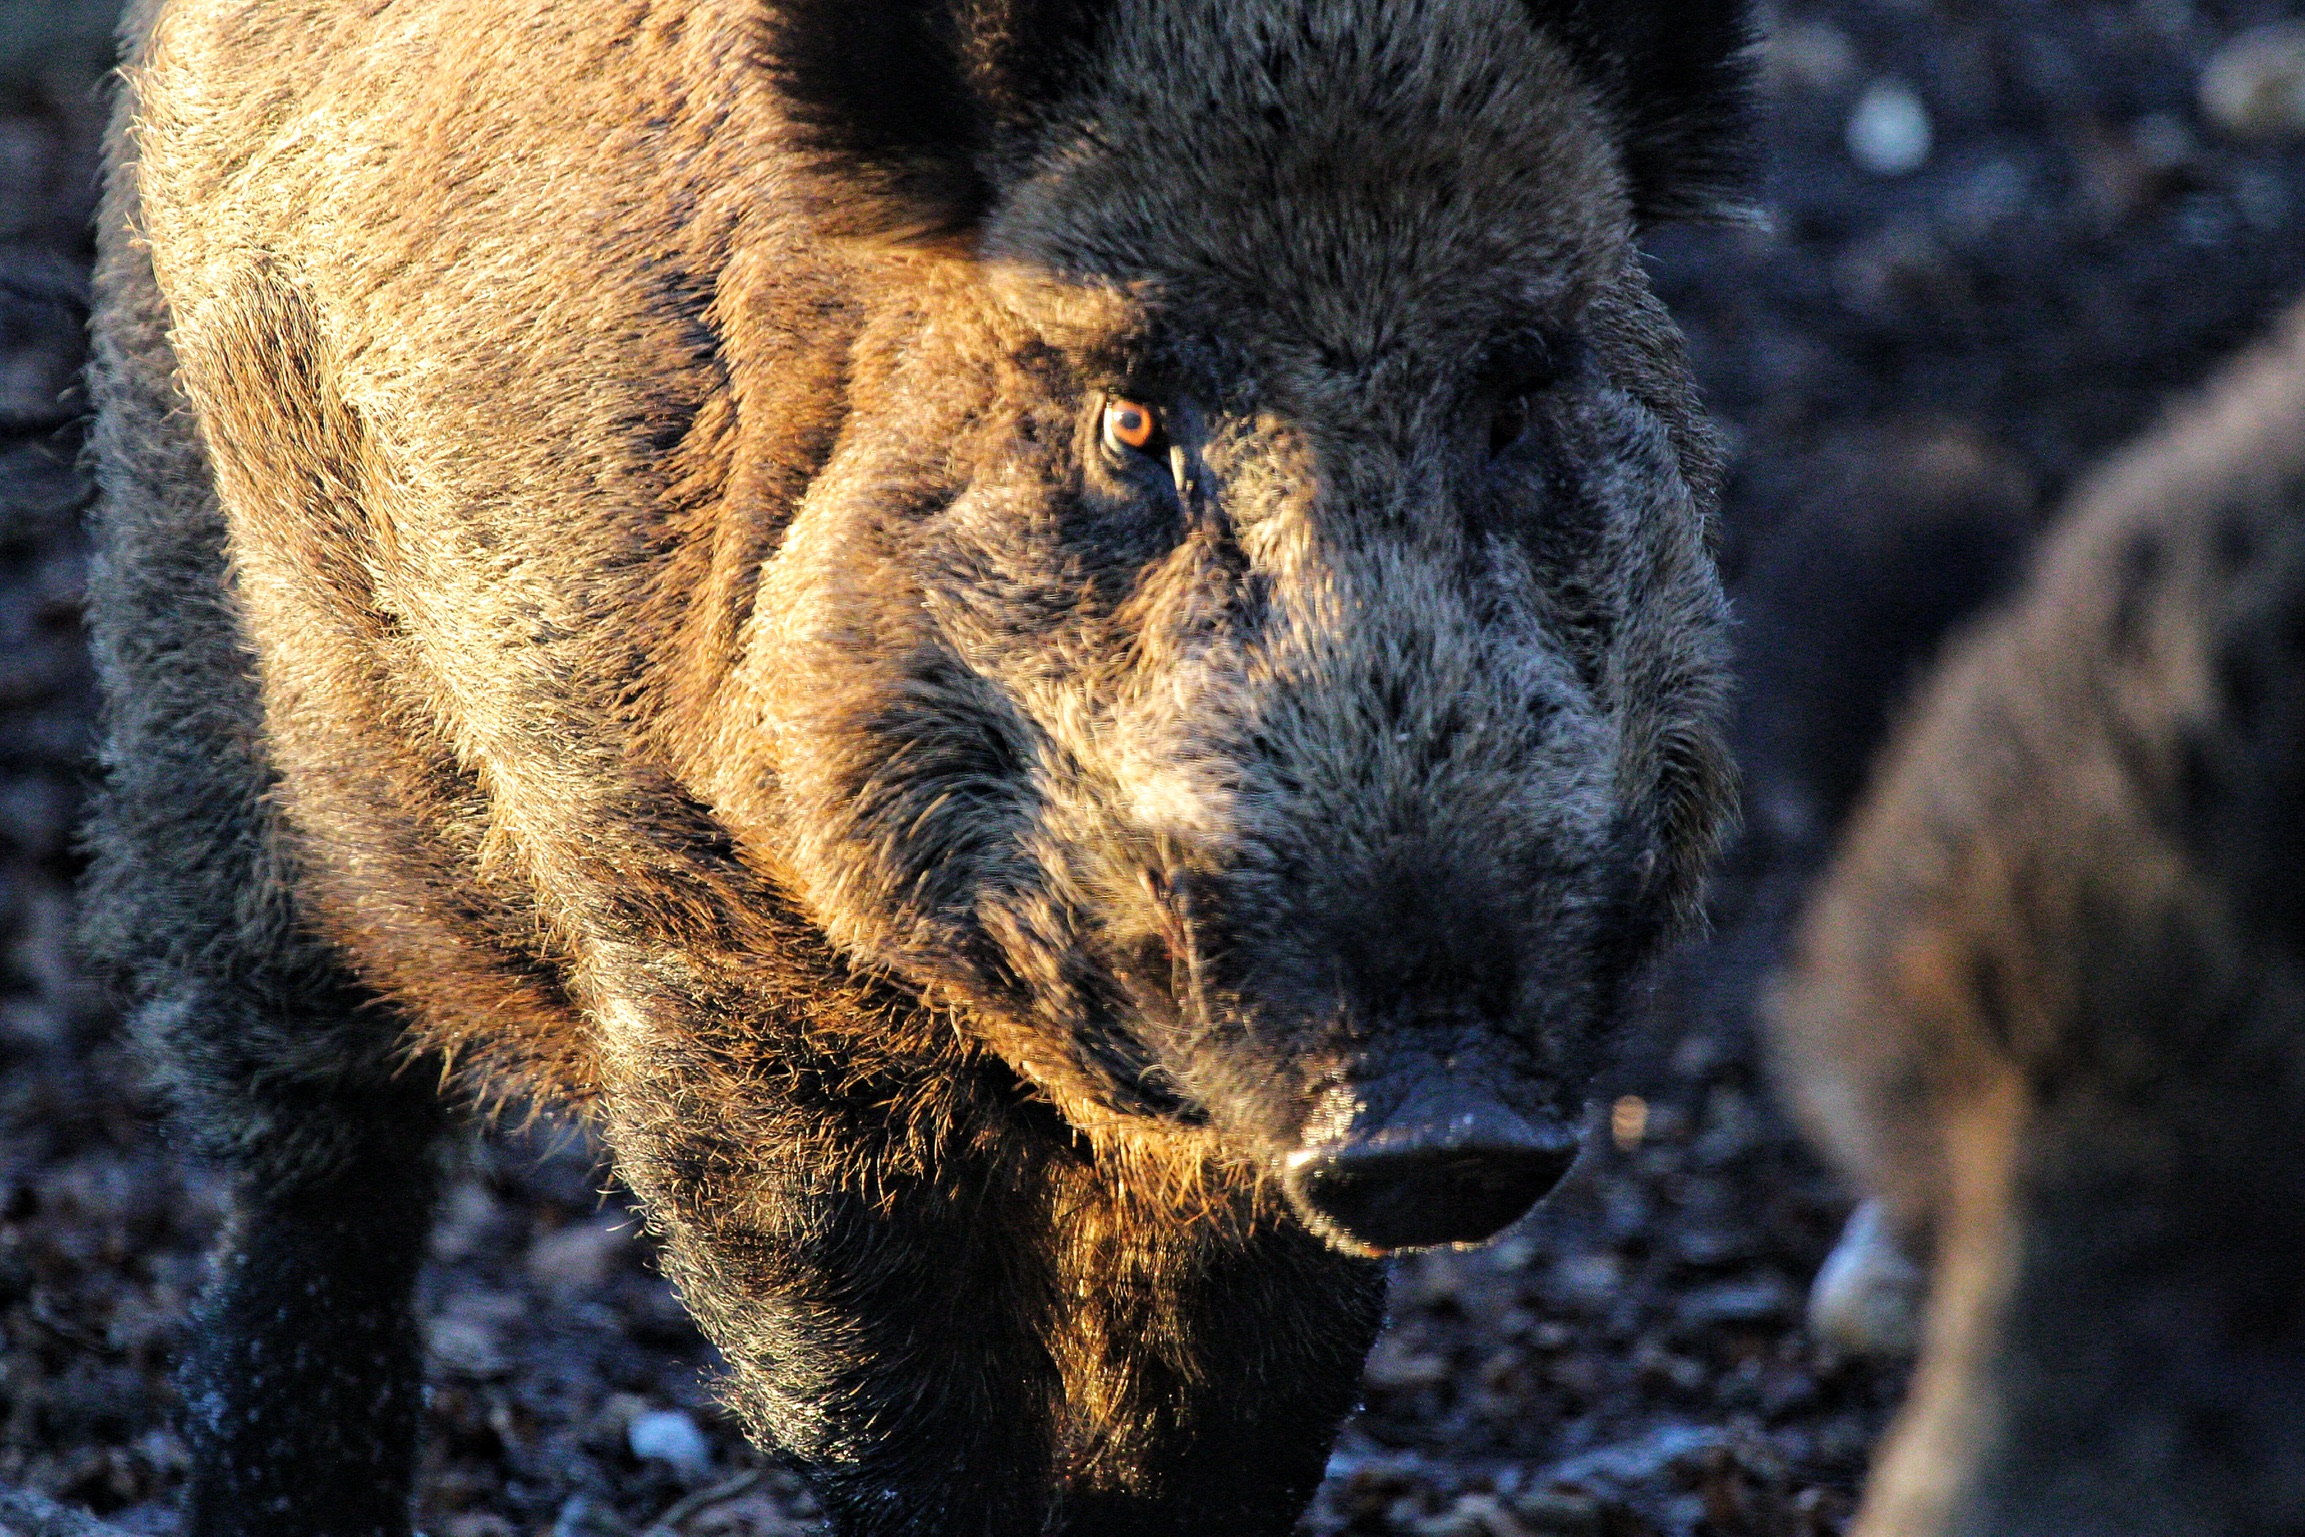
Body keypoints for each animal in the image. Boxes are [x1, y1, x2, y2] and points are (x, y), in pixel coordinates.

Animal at [81, 0, 1751, 1530]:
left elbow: (1237, 1417)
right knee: (307, 1147)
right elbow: (878, 1395)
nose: (1439, 1115)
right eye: (1127, 420)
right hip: (196, 665)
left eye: (1518, 393)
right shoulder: (696, 919)